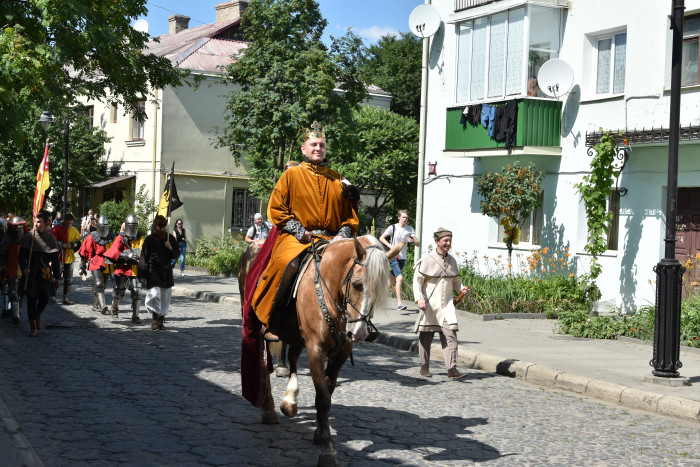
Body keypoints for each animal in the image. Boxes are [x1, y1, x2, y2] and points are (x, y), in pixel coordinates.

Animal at [243, 236, 402, 466]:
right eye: (357, 284)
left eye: (379, 289)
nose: (359, 333)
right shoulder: (316, 349)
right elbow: (323, 399)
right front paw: (327, 449)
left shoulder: (340, 353)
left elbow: (328, 391)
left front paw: (319, 430)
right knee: (264, 367)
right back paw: (269, 409)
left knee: (292, 357)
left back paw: (289, 401)